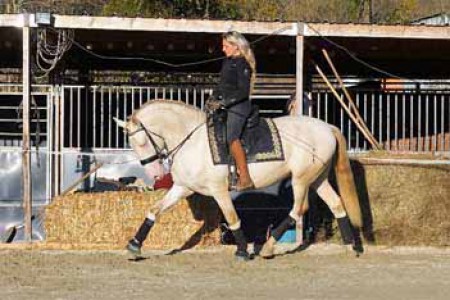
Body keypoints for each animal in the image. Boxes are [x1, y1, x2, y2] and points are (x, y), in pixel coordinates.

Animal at [116, 99, 362, 258]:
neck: (193, 140)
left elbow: (232, 218)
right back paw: (351, 246)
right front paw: (134, 245)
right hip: (318, 179)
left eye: (141, 142)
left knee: (298, 209)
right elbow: (155, 210)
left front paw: (243, 250)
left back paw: (268, 247)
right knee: (336, 204)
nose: (155, 174)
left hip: (301, 179)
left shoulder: (219, 191)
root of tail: (327, 127)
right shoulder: (183, 187)